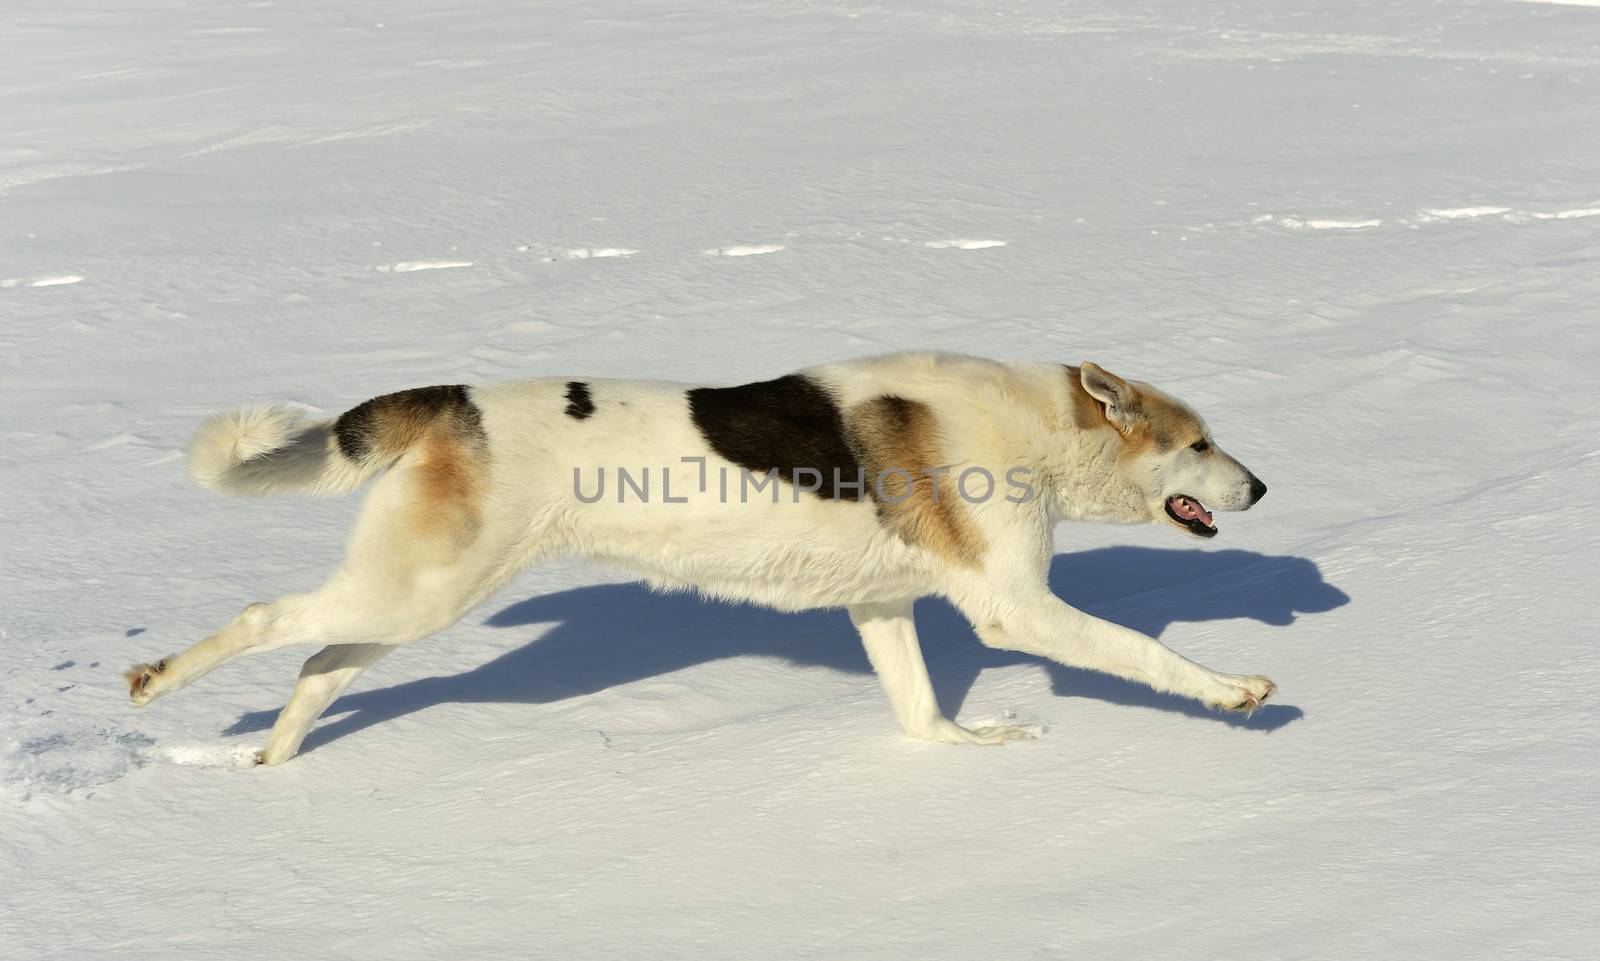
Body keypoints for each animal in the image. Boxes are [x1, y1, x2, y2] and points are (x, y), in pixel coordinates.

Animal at [124, 351, 1273, 764]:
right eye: (1200, 443)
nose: (1260, 487)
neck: (1034, 426)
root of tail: (453, 398)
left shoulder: (883, 609)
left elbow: (922, 715)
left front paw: (965, 748)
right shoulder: (1015, 609)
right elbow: (1149, 654)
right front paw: (1236, 691)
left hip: (412, 596)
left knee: (319, 664)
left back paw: (274, 762)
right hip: (414, 592)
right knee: (268, 621)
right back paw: (158, 681)